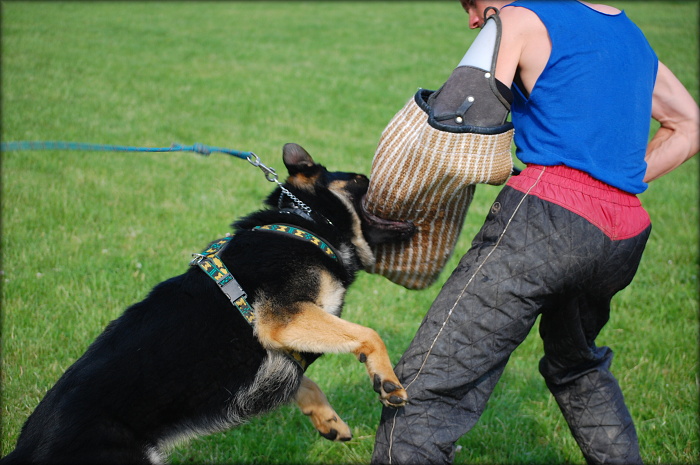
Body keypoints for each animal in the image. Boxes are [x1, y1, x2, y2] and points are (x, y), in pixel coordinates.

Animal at [0, 143, 412, 462]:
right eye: (361, 179)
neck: (305, 221)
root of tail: (23, 452)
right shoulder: (284, 319)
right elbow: (368, 334)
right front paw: (387, 380)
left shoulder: (285, 338)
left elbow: (302, 378)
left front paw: (327, 418)